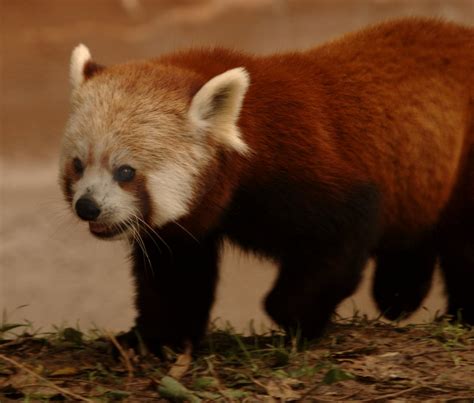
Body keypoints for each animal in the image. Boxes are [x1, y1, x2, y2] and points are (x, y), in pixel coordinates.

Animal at [60, 18, 474, 354]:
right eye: (78, 166)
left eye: (125, 172)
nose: (87, 207)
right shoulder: (188, 223)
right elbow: (176, 274)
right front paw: (155, 338)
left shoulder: (300, 167)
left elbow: (347, 225)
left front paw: (296, 317)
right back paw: (399, 293)